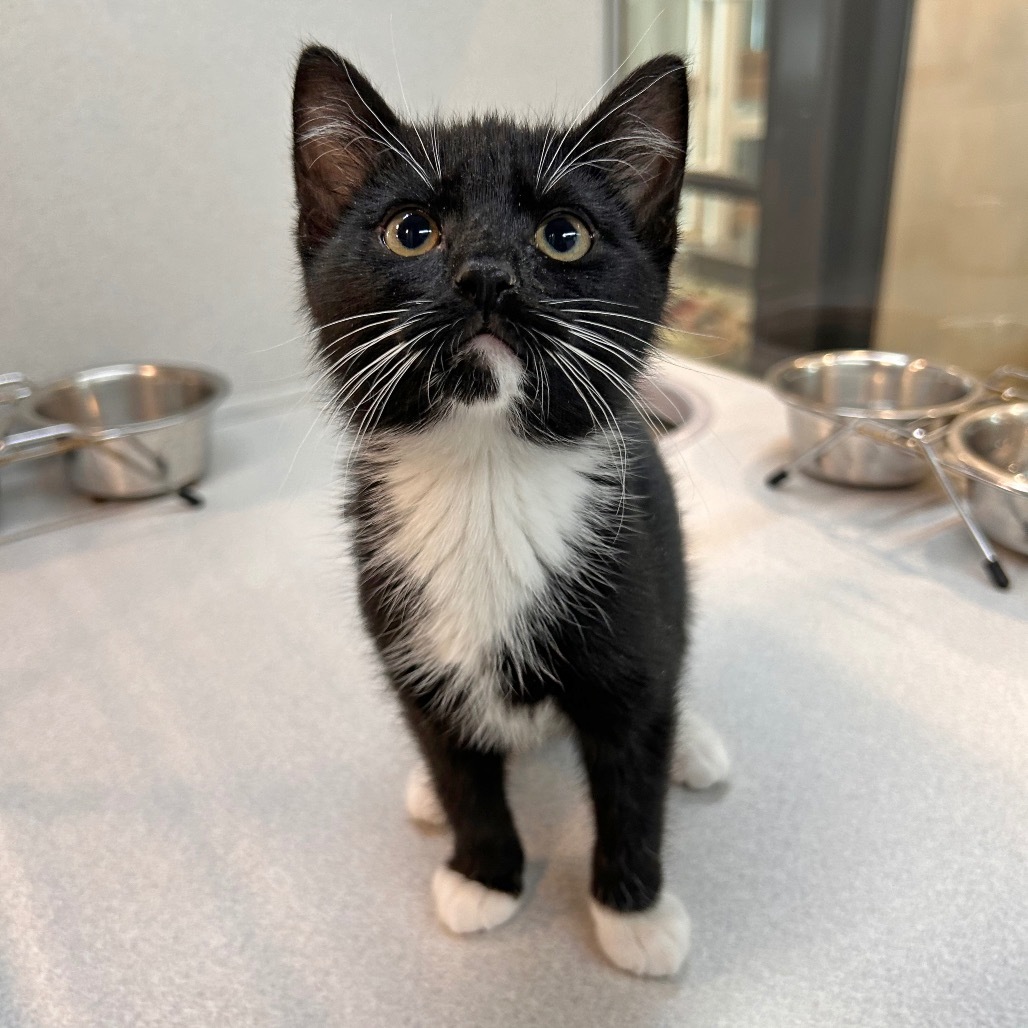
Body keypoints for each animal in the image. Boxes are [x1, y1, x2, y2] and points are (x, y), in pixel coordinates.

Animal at [289, 46, 731, 978]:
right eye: (411, 230)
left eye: (564, 236)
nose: (488, 274)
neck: (485, 474)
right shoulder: (406, 634)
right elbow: (461, 771)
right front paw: (484, 875)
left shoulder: (630, 601)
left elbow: (632, 773)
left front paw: (634, 914)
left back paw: (695, 744)